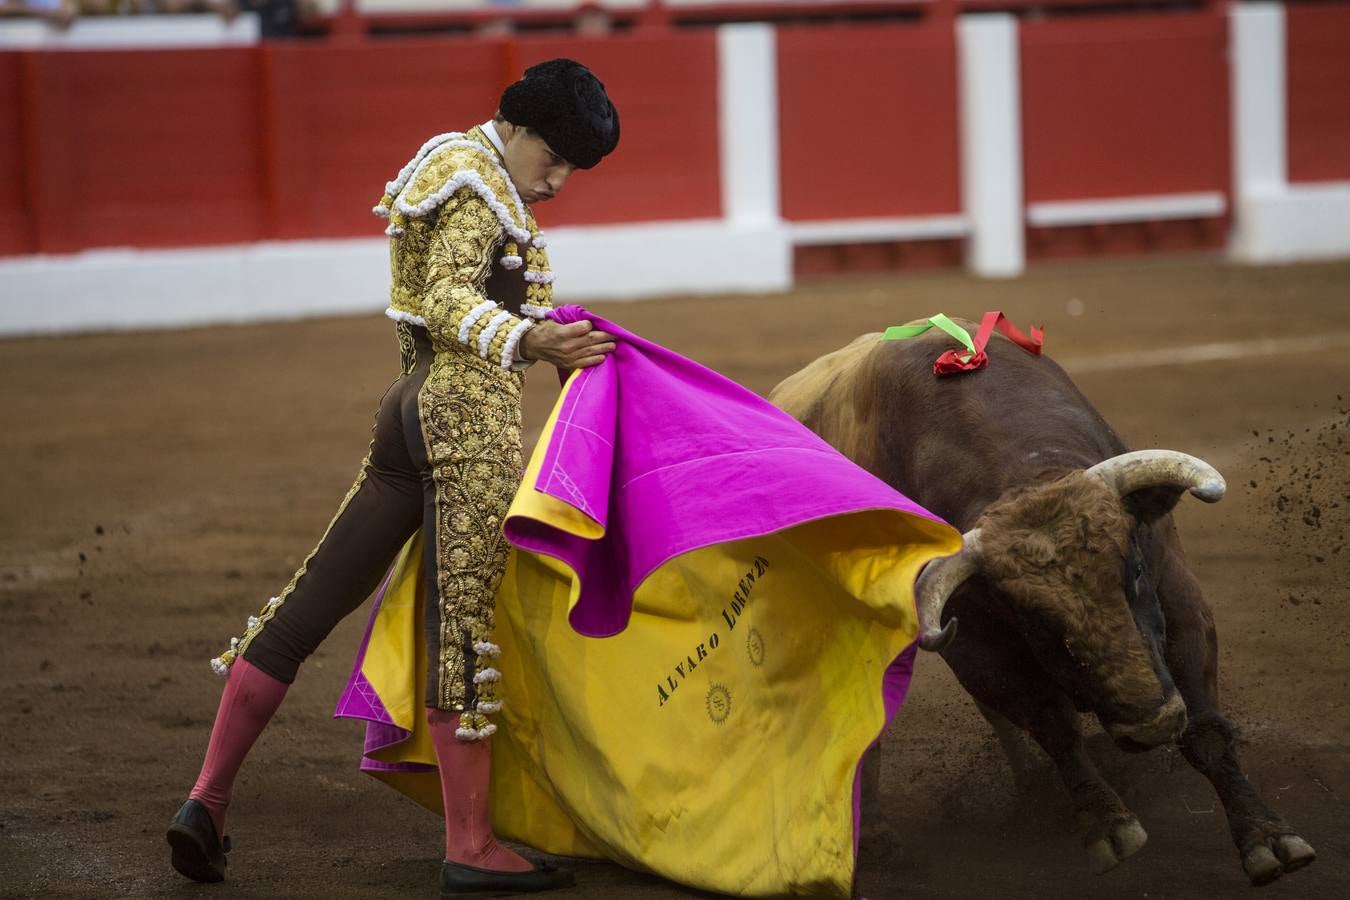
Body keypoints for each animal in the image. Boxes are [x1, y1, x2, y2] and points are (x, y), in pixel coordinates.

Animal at [772, 319, 1317, 885]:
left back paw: (1033, 797)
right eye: (1033, 619)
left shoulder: (1180, 597)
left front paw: (1268, 839)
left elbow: (1205, 727)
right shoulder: (976, 645)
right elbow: (1054, 726)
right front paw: (1108, 825)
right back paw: (880, 839)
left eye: (1134, 569)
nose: (1151, 726)